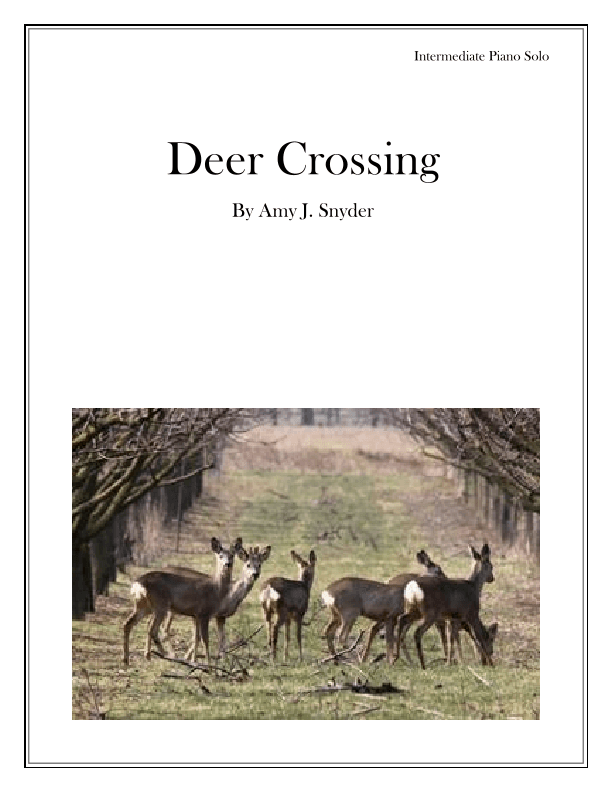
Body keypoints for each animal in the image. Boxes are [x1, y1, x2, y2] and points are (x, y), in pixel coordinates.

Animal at [122, 537, 240, 666]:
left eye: (232, 555)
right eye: (220, 556)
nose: (227, 564)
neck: (216, 589)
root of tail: (137, 584)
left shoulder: (195, 615)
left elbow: (196, 638)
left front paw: (194, 662)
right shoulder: (204, 613)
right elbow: (205, 640)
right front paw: (208, 665)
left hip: (143, 606)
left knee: (128, 623)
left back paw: (127, 659)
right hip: (160, 605)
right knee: (152, 629)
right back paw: (165, 656)